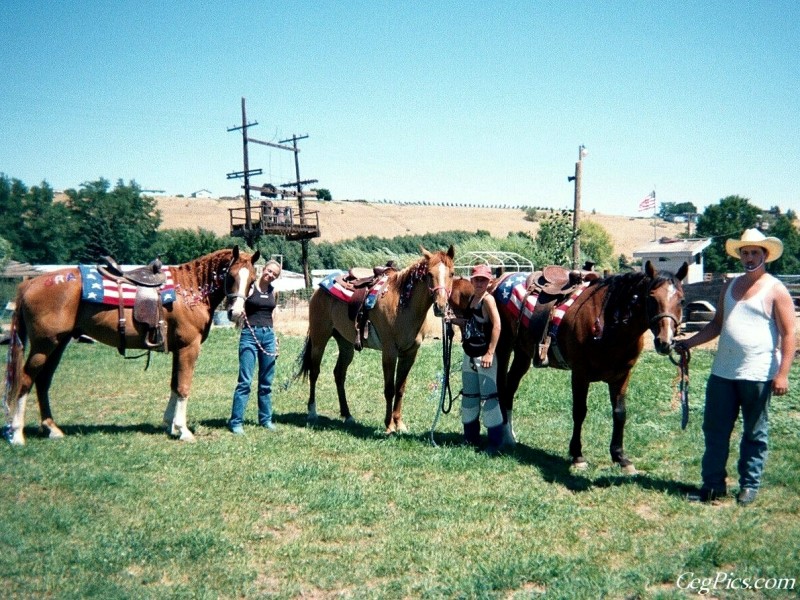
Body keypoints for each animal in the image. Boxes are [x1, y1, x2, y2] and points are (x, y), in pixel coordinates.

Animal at [3, 245, 260, 446]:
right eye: (231, 277)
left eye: (252, 280)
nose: (236, 313)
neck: (189, 290)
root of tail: (30, 284)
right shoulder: (189, 347)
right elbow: (183, 387)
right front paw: (183, 430)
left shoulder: (178, 349)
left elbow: (174, 385)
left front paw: (169, 425)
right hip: (43, 346)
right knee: (26, 380)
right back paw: (17, 435)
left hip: (58, 344)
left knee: (43, 382)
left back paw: (52, 429)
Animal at [296, 246, 454, 434]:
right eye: (429, 274)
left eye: (452, 273)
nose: (441, 306)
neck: (402, 304)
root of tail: (319, 289)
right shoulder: (389, 352)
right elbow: (389, 389)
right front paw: (389, 425)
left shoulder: (410, 353)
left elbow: (400, 388)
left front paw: (399, 424)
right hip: (319, 339)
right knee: (314, 372)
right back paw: (312, 412)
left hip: (345, 344)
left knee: (339, 374)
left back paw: (347, 415)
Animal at [494, 260, 688, 472]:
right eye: (651, 298)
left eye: (682, 300)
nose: (665, 342)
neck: (609, 325)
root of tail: (500, 280)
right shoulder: (580, 374)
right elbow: (579, 412)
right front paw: (577, 455)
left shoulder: (622, 376)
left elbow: (620, 413)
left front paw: (620, 457)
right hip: (504, 347)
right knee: (502, 387)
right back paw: (504, 436)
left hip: (523, 354)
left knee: (510, 388)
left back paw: (510, 435)